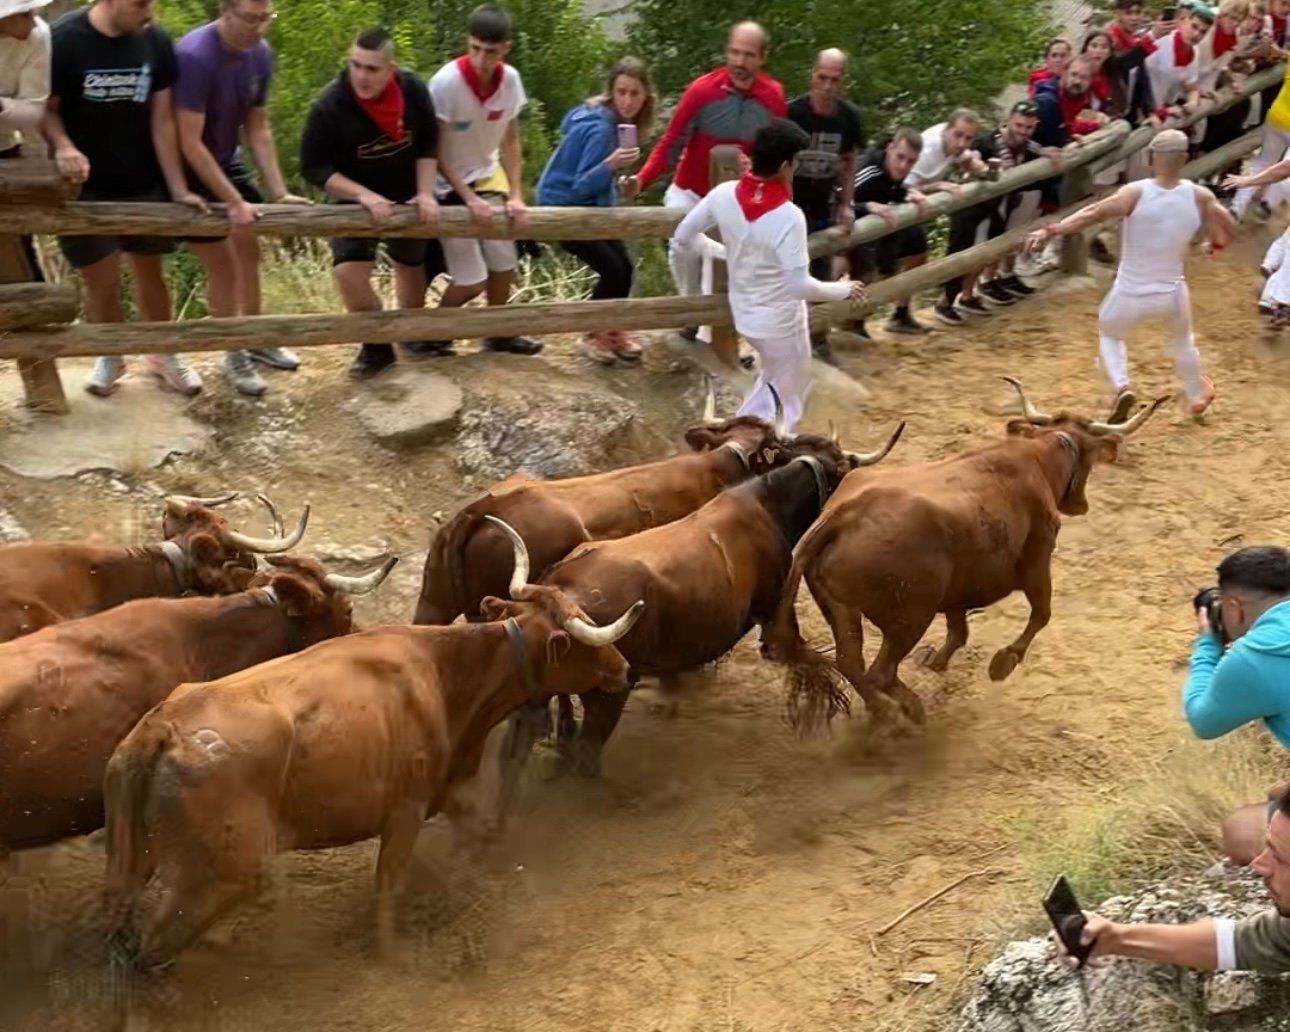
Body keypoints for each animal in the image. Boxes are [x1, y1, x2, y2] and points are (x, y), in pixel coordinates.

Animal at [100, 536, 645, 970]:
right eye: (583, 633)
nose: (623, 666)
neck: (443, 674)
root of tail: (161, 729)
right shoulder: (405, 810)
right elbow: (389, 884)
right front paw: (393, 955)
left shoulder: (448, 789)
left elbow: (475, 836)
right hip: (224, 872)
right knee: (156, 944)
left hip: (133, 863)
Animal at [768, 376, 1176, 727]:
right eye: (1091, 459)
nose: (1080, 505)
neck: (1038, 456)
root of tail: (839, 517)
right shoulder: (1037, 561)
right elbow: (1041, 614)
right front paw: (1004, 662)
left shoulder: (958, 589)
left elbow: (959, 629)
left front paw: (938, 660)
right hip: (909, 619)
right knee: (879, 672)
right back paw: (906, 710)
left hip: (842, 610)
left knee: (850, 663)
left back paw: (887, 712)